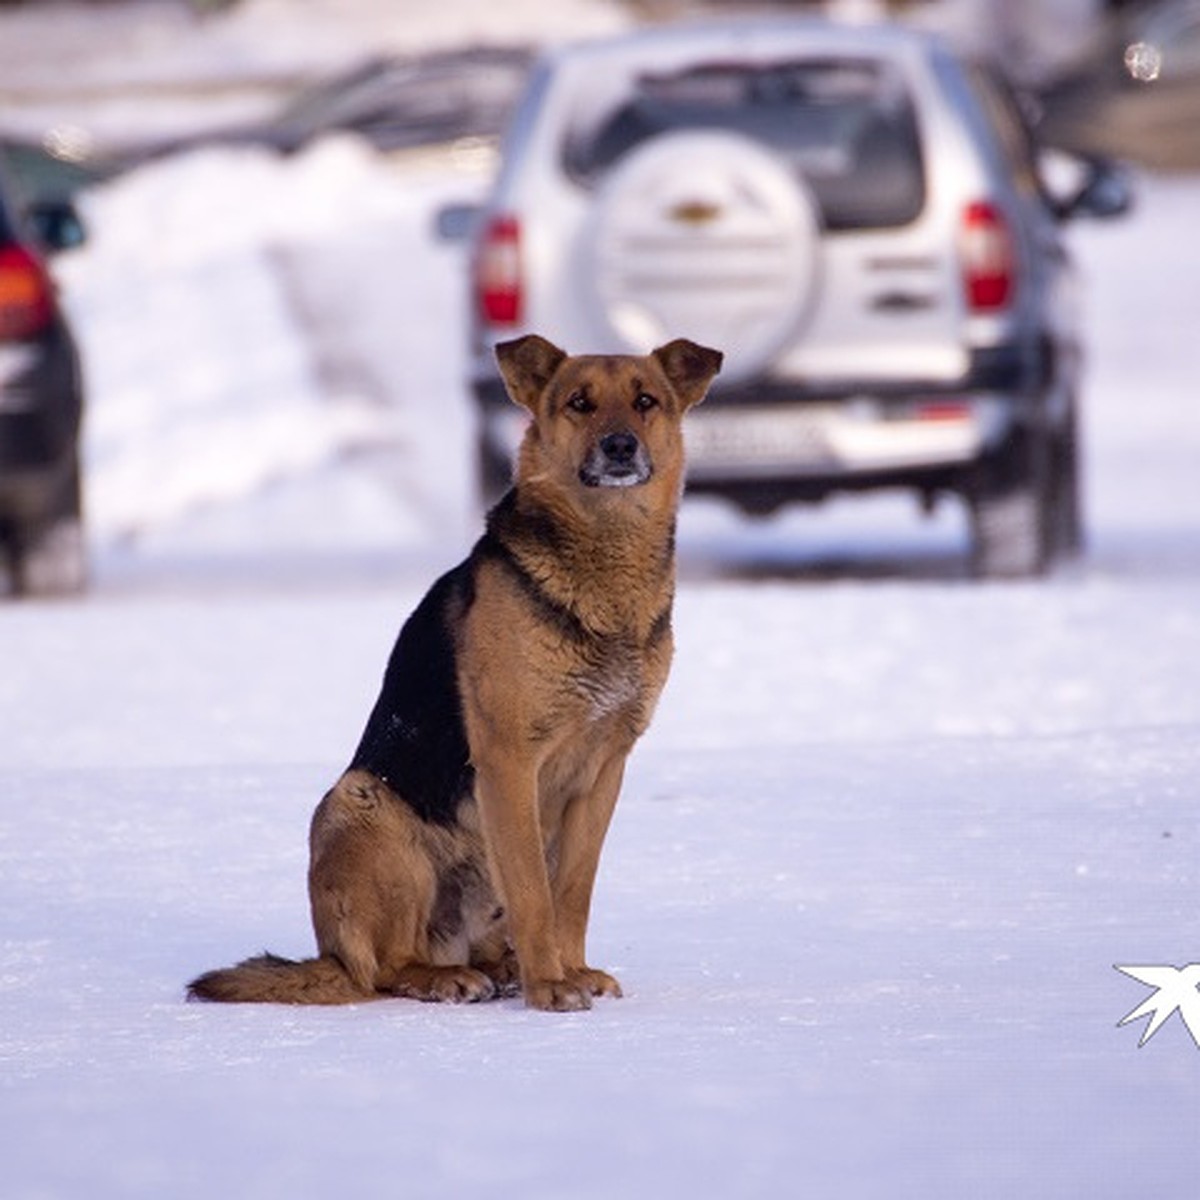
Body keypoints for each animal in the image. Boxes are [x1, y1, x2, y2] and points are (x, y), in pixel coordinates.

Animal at [187, 333, 720, 1008]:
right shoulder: (509, 760)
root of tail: (330, 955)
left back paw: (499, 969)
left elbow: (572, 894)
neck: (603, 561)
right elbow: (533, 893)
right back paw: (445, 978)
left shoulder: (604, 770)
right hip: (359, 805)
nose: (620, 446)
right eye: (579, 403)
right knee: (384, 968)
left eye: (645, 401)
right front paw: (551, 985)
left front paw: (572, 970)